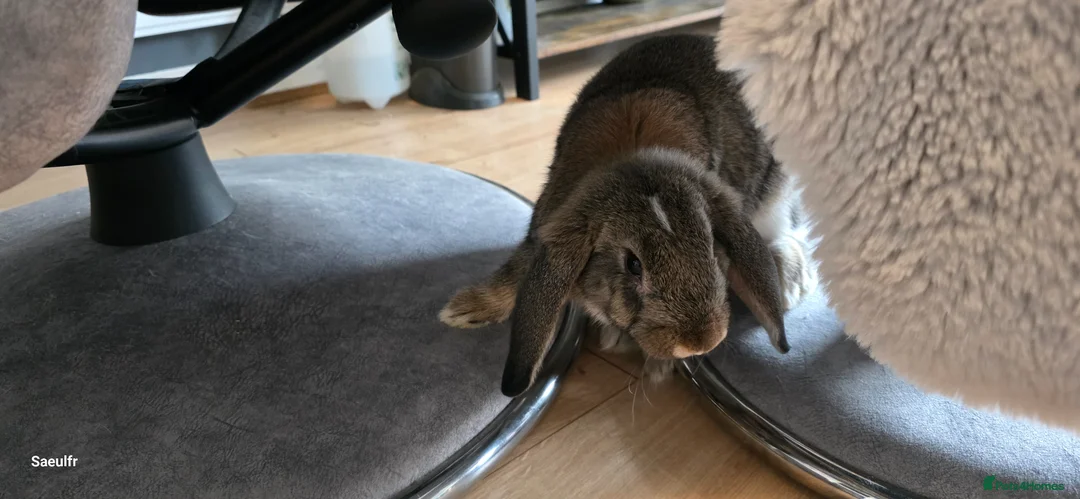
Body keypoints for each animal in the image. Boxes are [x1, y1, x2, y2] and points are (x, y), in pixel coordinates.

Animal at [439, 33, 817, 397]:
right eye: (633, 265)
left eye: (712, 247)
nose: (700, 342)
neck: (636, 156)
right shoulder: (546, 225)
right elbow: (516, 270)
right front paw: (463, 311)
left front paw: (658, 368)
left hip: (774, 197)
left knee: (791, 235)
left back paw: (786, 282)